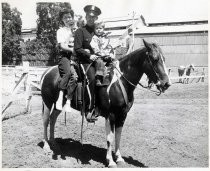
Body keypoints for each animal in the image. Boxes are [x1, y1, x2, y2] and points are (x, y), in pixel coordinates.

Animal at [40, 38, 171, 167]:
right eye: (155, 59)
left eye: (164, 59)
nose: (166, 84)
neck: (119, 82)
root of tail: (47, 72)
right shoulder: (111, 115)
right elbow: (110, 137)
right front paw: (111, 161)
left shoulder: (122, 115)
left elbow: (118, 136)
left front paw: (119, 158)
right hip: (47, 103)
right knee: (46, 121)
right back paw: (46, 146)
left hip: (59, 105)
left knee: (53, 119)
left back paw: (54, 143)